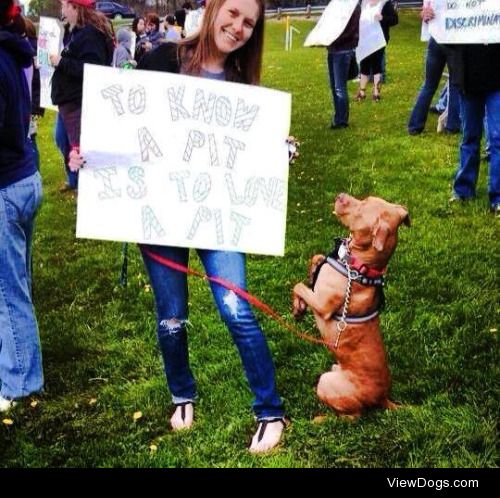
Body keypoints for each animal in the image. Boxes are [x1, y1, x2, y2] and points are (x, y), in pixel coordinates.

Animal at [292, 195, 410, 416]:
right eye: (365, 198)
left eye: (361, 209)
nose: (340, 195)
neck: (359, 267)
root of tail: (383, 399)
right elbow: (315, 258)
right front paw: (299, 304)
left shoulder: (322, 304)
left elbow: (299, 286)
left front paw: (298, 305)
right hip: (333, 368)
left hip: (327, 382)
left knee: (353, 416)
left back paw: (321, 418)